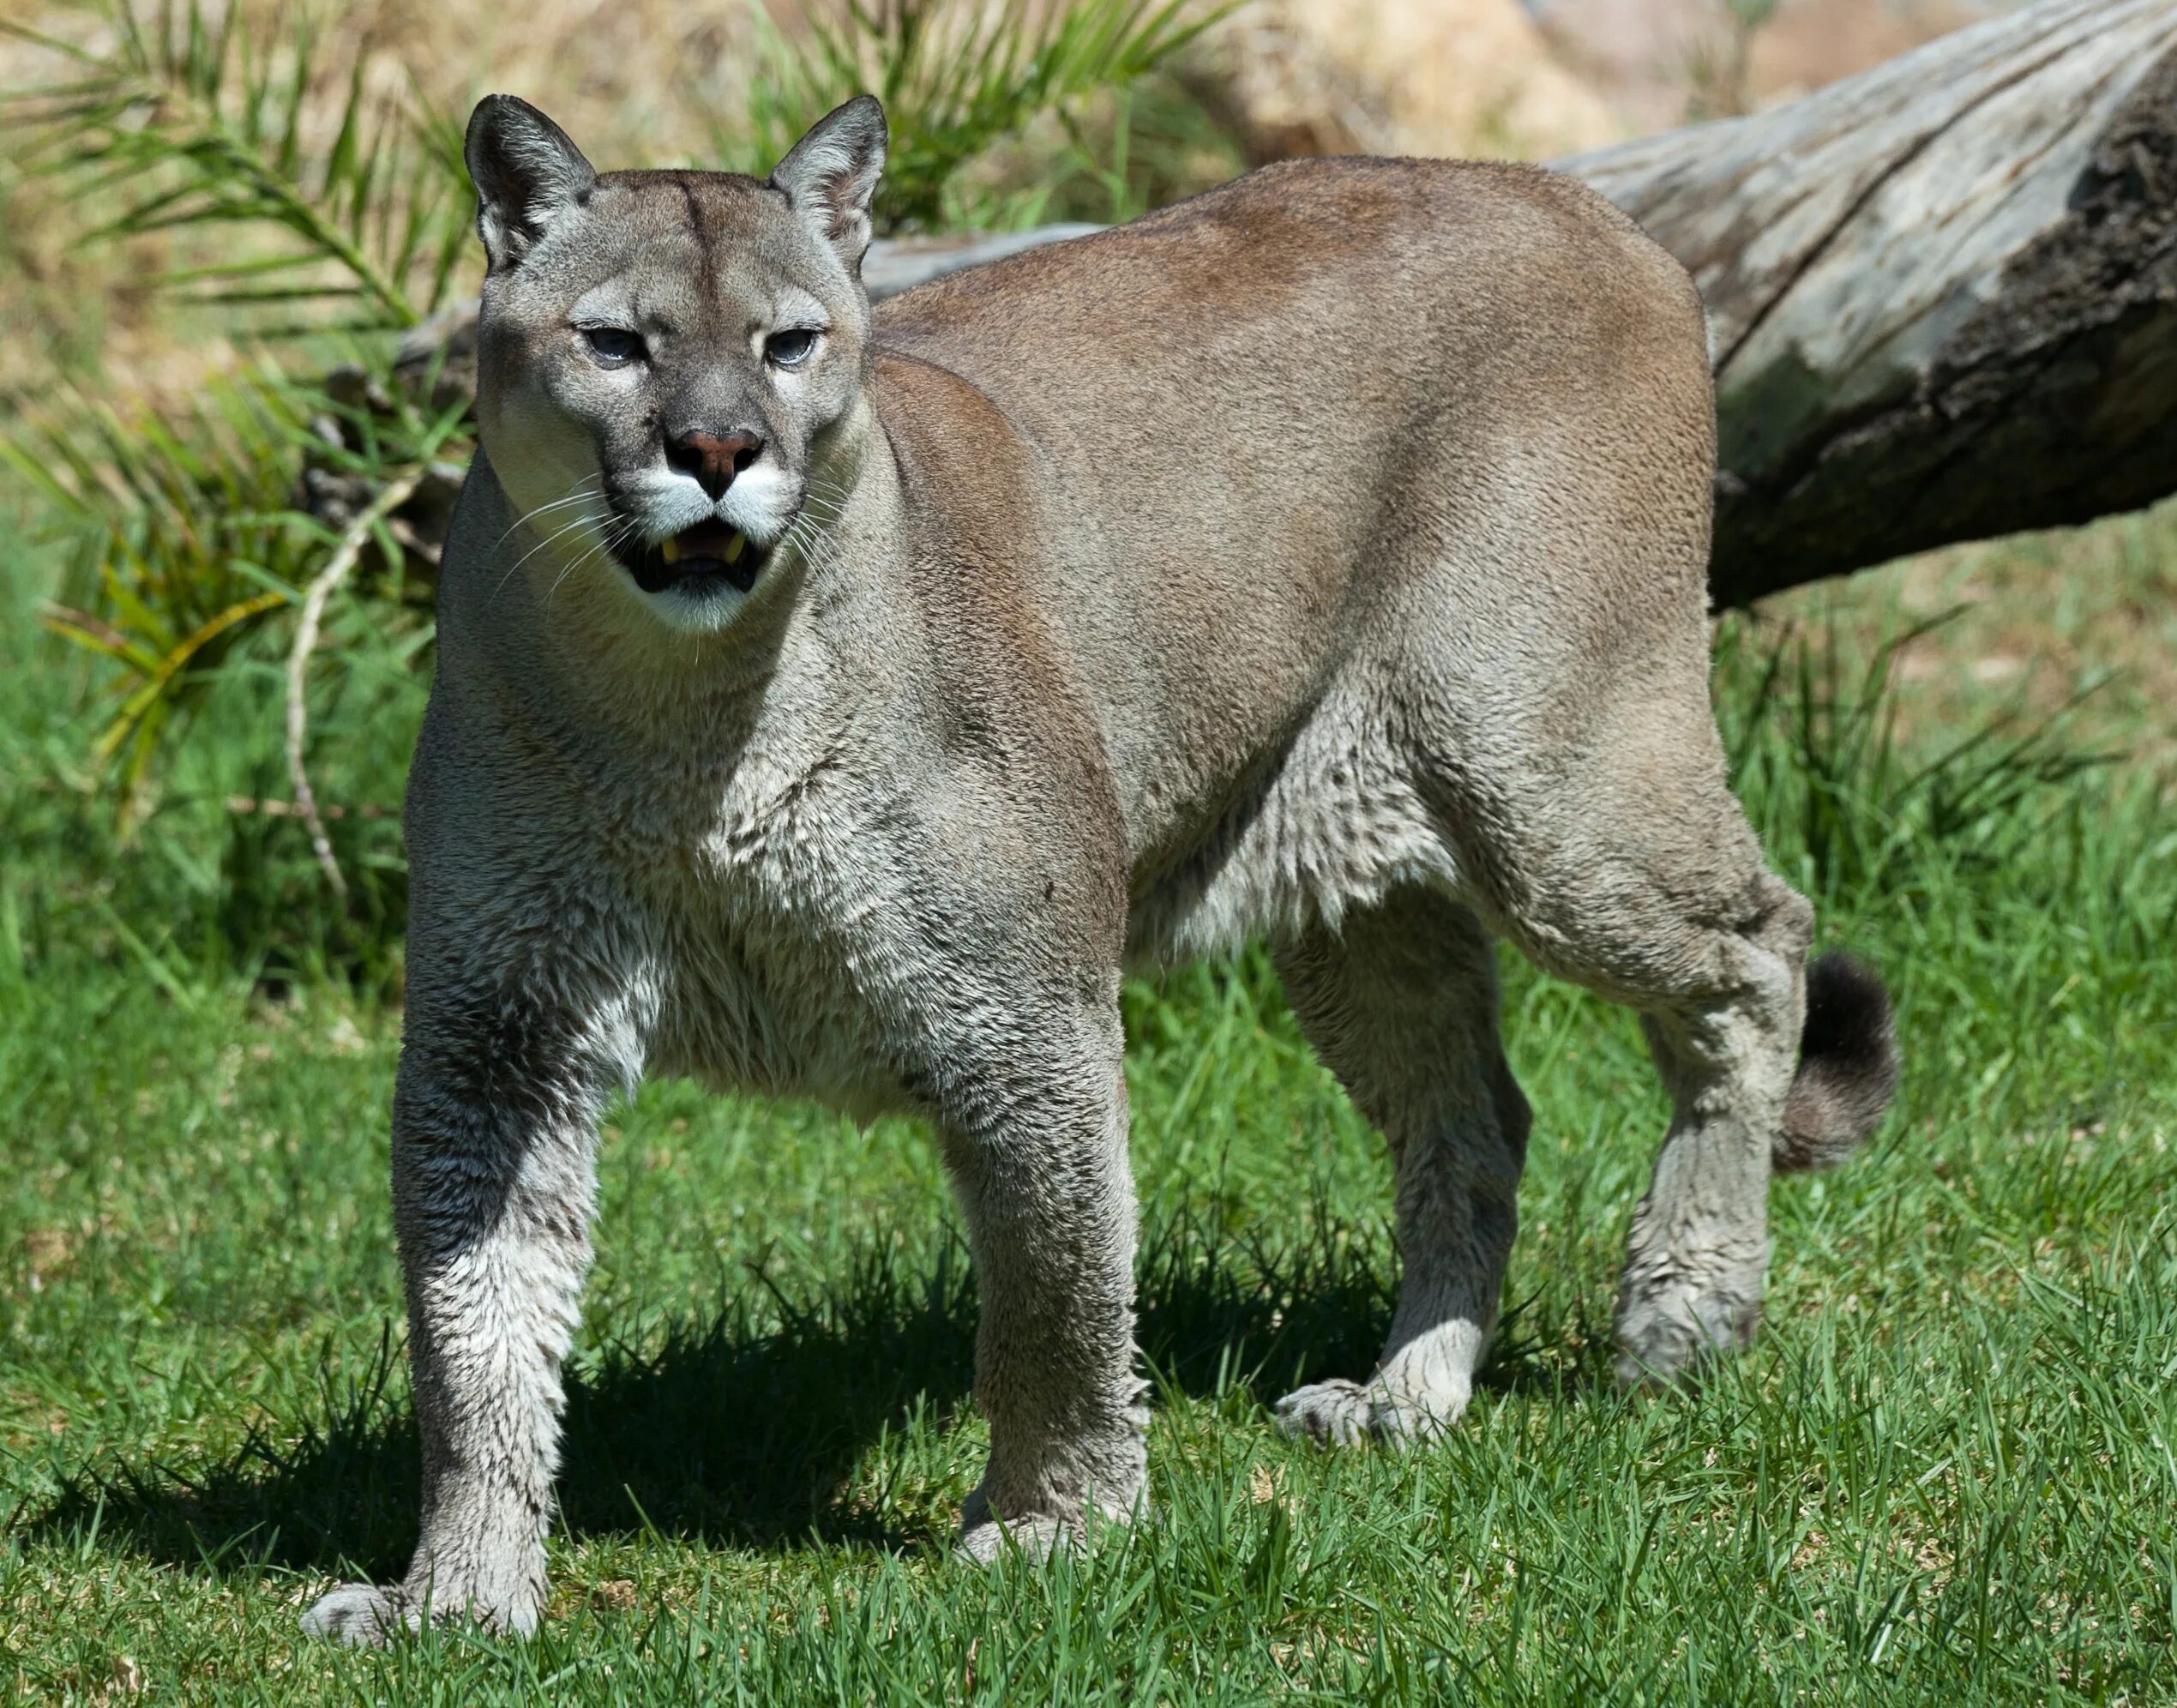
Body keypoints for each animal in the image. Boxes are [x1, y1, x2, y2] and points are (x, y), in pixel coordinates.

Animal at [298, 93, 1898, 1636]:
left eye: (786, 343)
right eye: (616, 343)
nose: (714, 453)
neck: (686, 727)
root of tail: (1575, 199)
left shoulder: (1017, 1009)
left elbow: (1052, 1286)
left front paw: (1060, 1525)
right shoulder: (500, 1036)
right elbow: (471, 1331)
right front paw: (456, 1592)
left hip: (1547, 781)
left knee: (1754, 950)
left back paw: (1680, 1313)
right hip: (1360, 886)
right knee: (1478, 1116)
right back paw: (1405, 1396)